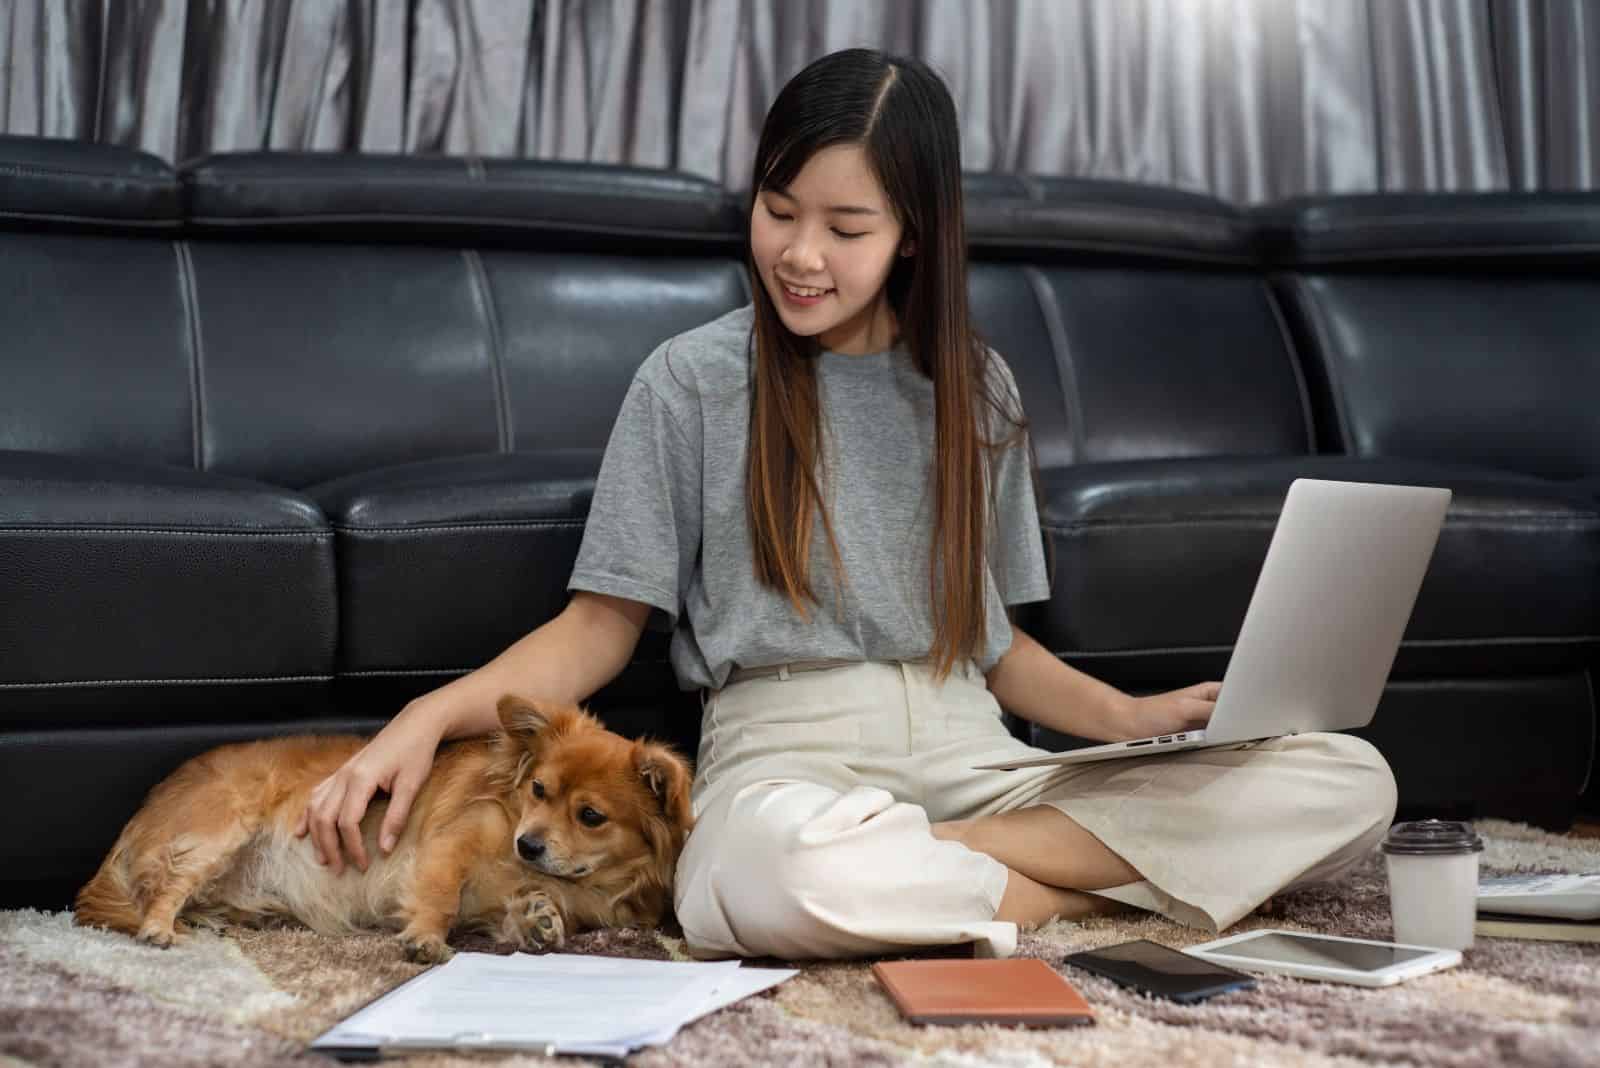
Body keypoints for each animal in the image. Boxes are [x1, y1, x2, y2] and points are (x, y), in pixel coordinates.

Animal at [75, 697, 691, 965]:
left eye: (590, 816)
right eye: (538, 790)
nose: (529, 843)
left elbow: (516, 912)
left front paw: (539, 920)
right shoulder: (451, 843)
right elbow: (439, 893)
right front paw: (425, 938)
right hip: (219, 828)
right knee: (163, 883)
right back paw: (161, 929)